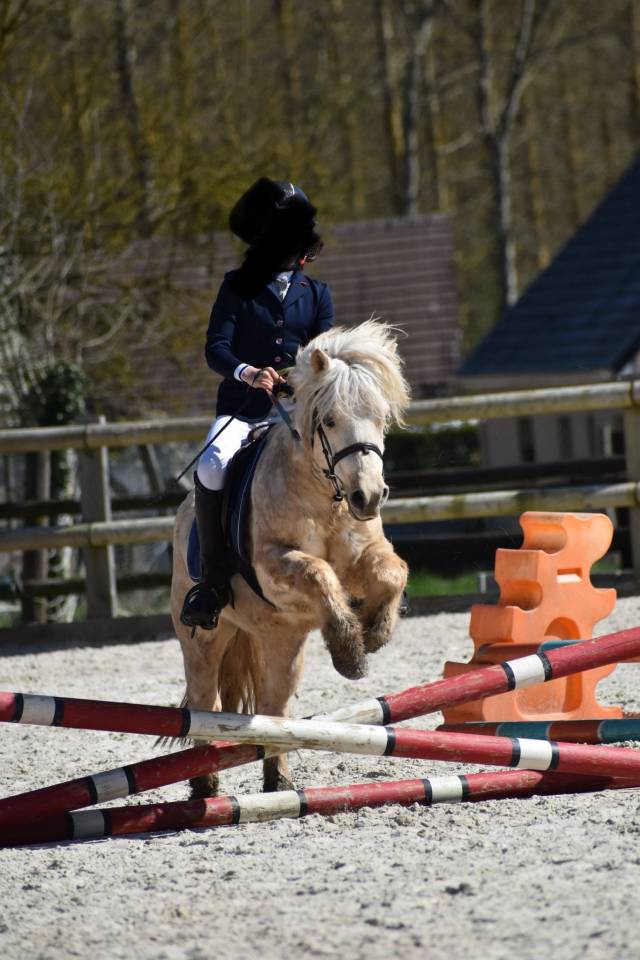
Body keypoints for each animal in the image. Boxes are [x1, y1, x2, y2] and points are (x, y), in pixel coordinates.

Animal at [170, 320, 410, 797]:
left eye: (380, 419)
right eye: (330, 420)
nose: (369, 497)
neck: (325, 495)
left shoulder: (363, 556)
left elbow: (393, 571)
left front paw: (375, 631)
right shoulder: (272, 564)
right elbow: (317, 574)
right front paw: (349, 650)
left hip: (283, 641)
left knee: (273, 708)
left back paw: (277, 780)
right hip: (204, 639)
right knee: (206, 703)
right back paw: (206, 786)